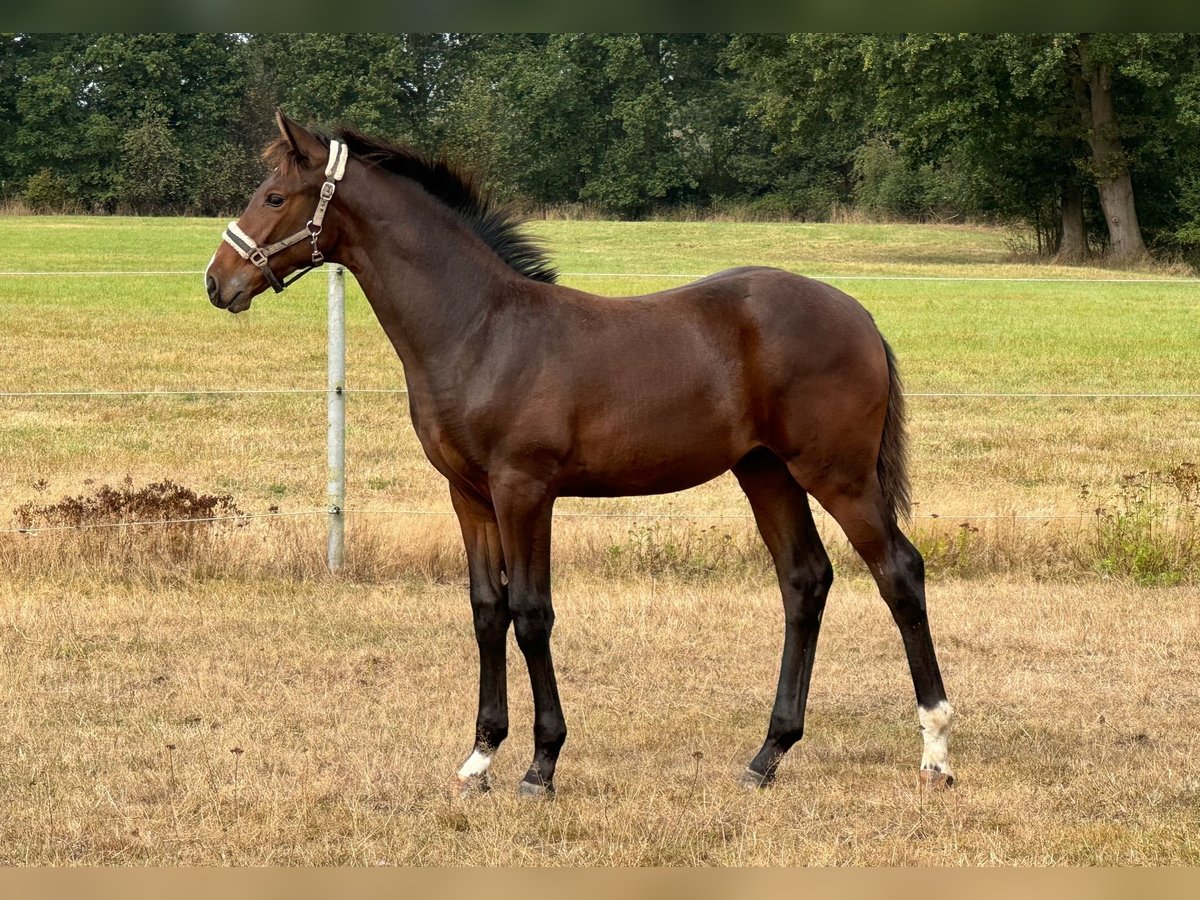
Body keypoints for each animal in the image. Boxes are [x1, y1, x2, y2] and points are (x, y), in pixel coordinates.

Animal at [206, 112, 955, 796]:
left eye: (274, 197)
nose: (218, 282)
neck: (480, 330)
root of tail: (857, 314)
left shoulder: (525, 490)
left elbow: (531, 613)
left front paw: (541, 763)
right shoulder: (469, 495)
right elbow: (487, 610)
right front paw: (480, 757)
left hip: (838, 475)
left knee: (898, 572)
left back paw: (935, 749)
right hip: (766, 472)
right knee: (805, 581)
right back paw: (768, 754)